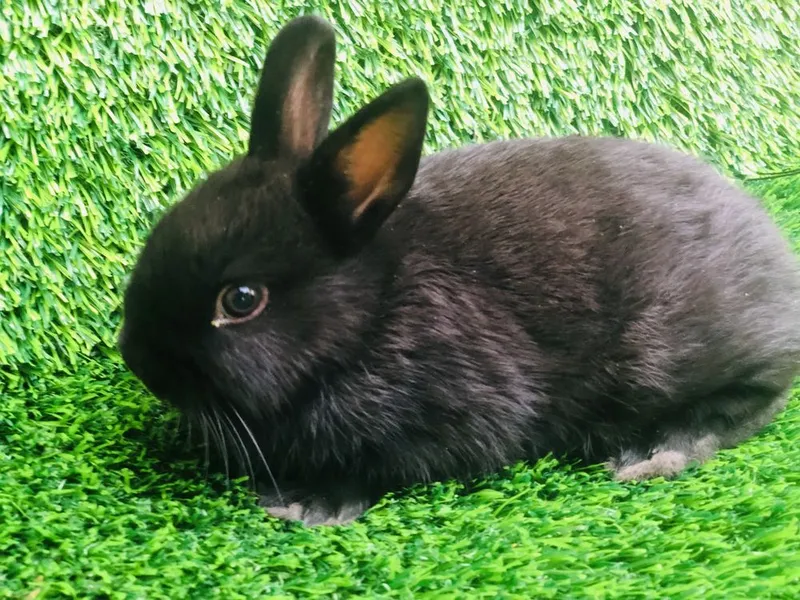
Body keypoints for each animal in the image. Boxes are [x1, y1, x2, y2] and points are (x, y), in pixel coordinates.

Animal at [119, 15, 800, 526]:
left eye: (240, 300)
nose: (137, 359)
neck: (375, 309)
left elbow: (386, 464)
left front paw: (307, 503)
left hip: (667, 360)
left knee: (752, 399)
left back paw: (655, 451)